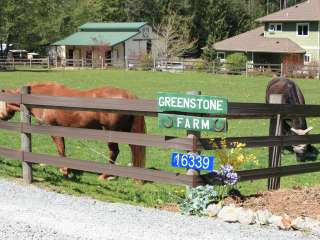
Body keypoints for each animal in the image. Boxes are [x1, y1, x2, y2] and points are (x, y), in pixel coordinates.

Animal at [0, 82, 146, 178]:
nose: (1, 117)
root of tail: (128, 95)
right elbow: (62, 148)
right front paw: (66, 170)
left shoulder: (54, 129)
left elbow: (60, 149)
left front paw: (64, 171)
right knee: (133, 149)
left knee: (114, 152)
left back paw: (105, 175)